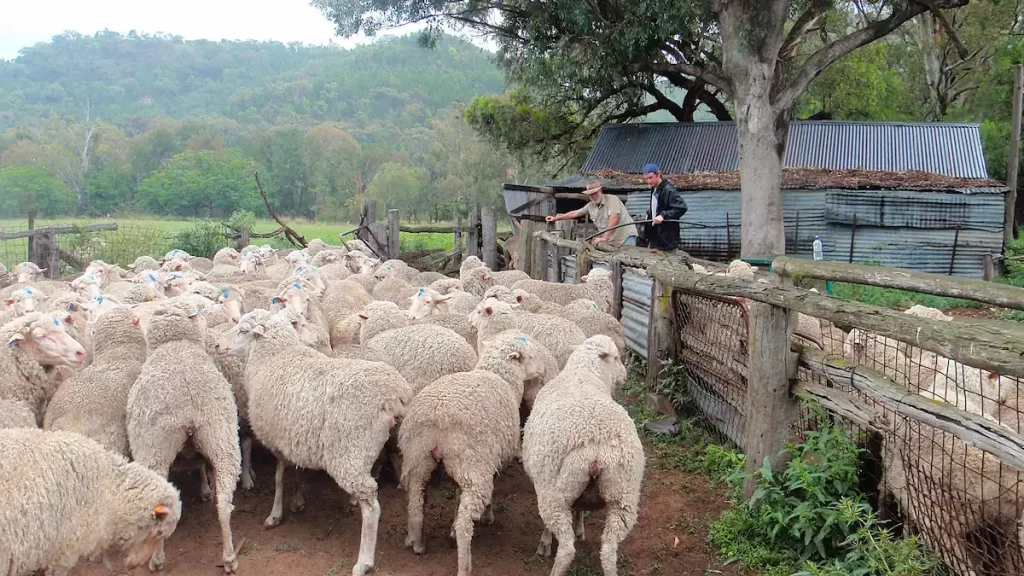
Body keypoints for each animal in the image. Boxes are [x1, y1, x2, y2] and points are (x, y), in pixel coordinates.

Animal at [126, 301, 241, 573]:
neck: (176, 346)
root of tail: (188, 405)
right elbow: (199, 464)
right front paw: (205, 489)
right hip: (222, 438)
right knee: (224, 504)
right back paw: (229, 558)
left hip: (155, 449)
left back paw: (157, 560)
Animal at [215, 308, 412, 576]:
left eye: (243, 330)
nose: (217, 345)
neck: (273, 359)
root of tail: (394, 394)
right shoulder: (294, 439)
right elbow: (296, 473)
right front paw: (298, 501)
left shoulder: (277, 442)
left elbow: (279, 479)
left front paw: (275, 515)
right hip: (397, 441)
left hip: (349, 451)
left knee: (372, 507)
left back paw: (363, 561)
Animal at [399, 331, 548, 575]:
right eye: (532, 356)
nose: (544, 370)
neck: (499, 376)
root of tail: (436, 419)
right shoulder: (491, 459)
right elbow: (491, 487)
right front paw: (488, 515)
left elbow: (458, 495)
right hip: (473, 466)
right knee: (464, 525)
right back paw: (464, 564)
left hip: (419, 458)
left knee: (415, 502)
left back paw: (417, 542)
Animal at [522, 335, 643, 576]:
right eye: (617, 357)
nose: (624, 376)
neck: (584, 372)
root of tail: (595, 448)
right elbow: (580, 508)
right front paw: (580, 529)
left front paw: (545, 543)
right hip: (623, 496)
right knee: (609, 549)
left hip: (555, 494)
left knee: (566, 548)